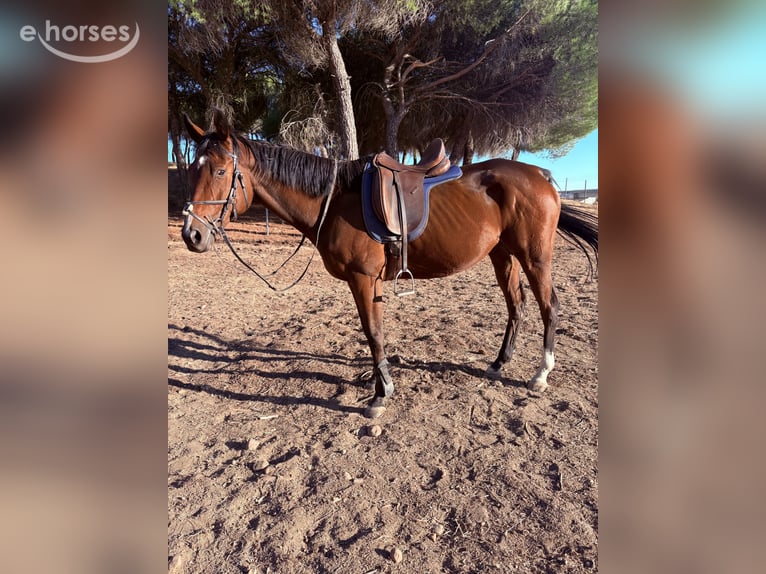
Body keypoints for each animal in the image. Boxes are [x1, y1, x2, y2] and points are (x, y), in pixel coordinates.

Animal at [180, 110, 598, 419]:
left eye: (220, 171)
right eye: (191, 169)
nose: (192, 235)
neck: (335, 199)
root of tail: (540, 175)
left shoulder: (363, 279)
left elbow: (373, 333)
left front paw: (381, 394)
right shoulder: (371, 282)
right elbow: (374, 334)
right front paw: (379, 383)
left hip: (535, 256)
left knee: (549, 306)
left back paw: (540, 374)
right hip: (502, 255)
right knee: (517, 305)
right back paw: (498, 364)